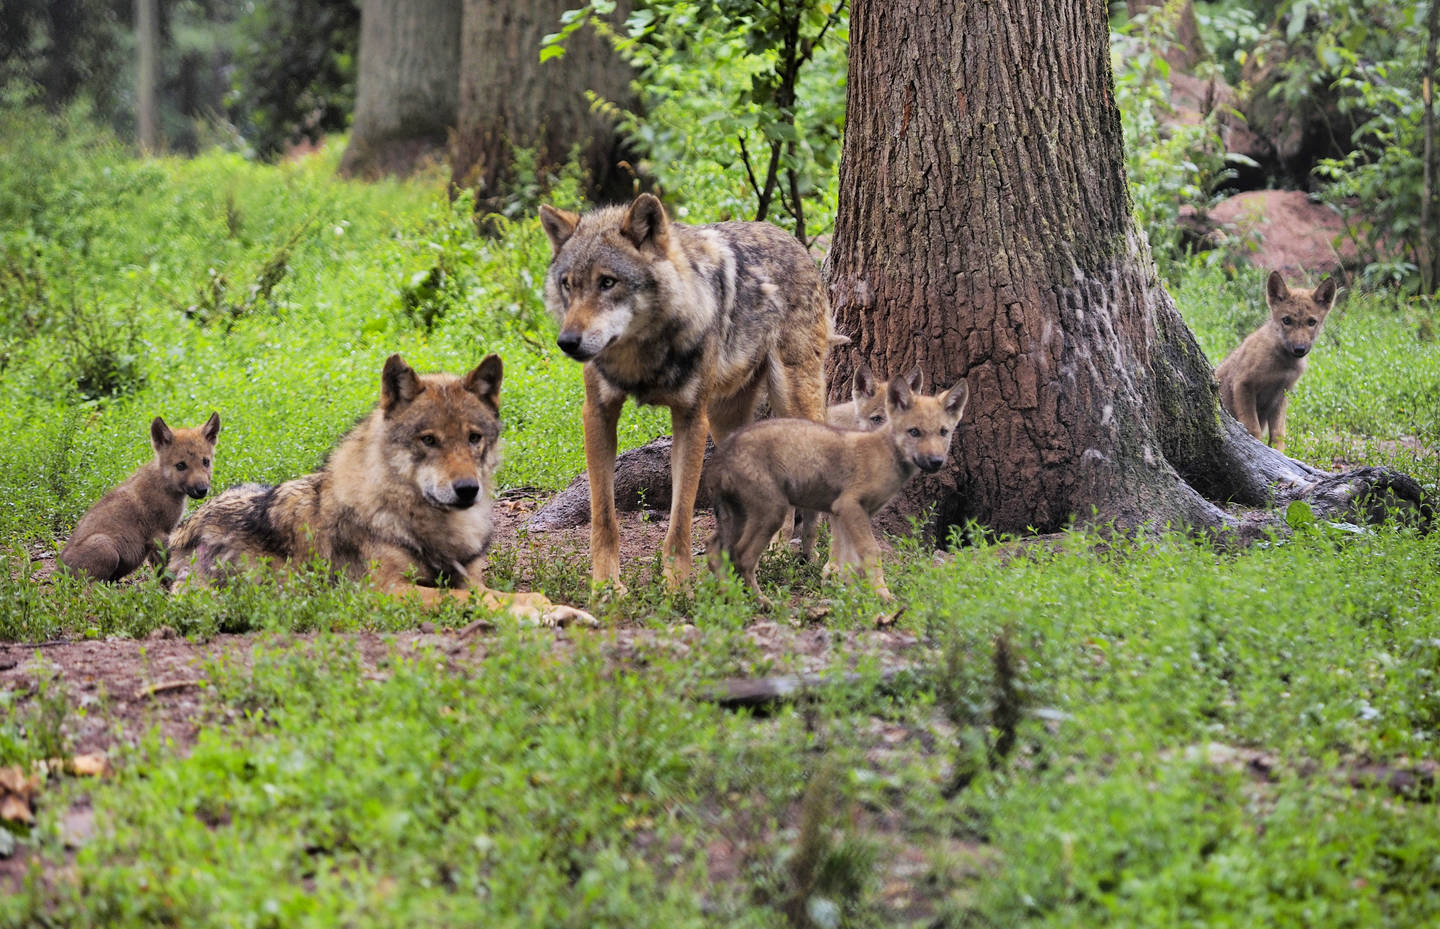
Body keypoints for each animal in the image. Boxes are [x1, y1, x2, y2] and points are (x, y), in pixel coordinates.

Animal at [538, 194, 835, 587]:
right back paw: (766, 555)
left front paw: (676, 586)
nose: (568, 342)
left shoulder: (691, 417)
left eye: (608, 282)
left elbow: (679, 520)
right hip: (727, 422)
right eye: (568, 285)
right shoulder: (598, 414)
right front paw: (606, 586)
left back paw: (828, 562)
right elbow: (604, 518)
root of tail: (790, 238)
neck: (641, 355)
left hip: (793, 398)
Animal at [1215, 267, 1336, 452]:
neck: (1283, 365)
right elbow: (1253, 429)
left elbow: (1279, 434)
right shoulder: (1243, 384)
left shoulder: (1281, 394)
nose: (1299, 349)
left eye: (1311, 322)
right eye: (1286, 320)